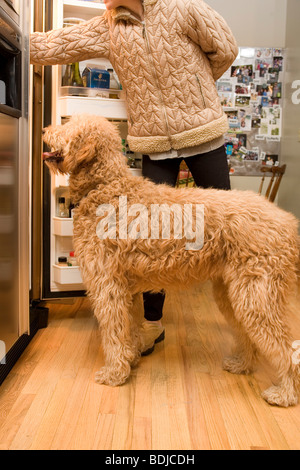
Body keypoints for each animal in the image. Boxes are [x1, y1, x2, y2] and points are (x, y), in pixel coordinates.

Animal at [42, 114, 300, 408]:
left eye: (68, 127)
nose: (45, 130)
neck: (106, 186)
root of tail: (288, 221)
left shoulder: (108, 287)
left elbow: (113, 332)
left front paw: (114, 373)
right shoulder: (127, 290)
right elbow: (128, 328)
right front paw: (130, 359)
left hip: (257, 296)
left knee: (284, 346)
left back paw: (285, 392)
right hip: (235, 293)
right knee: (249, 335)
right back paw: (242, 364)